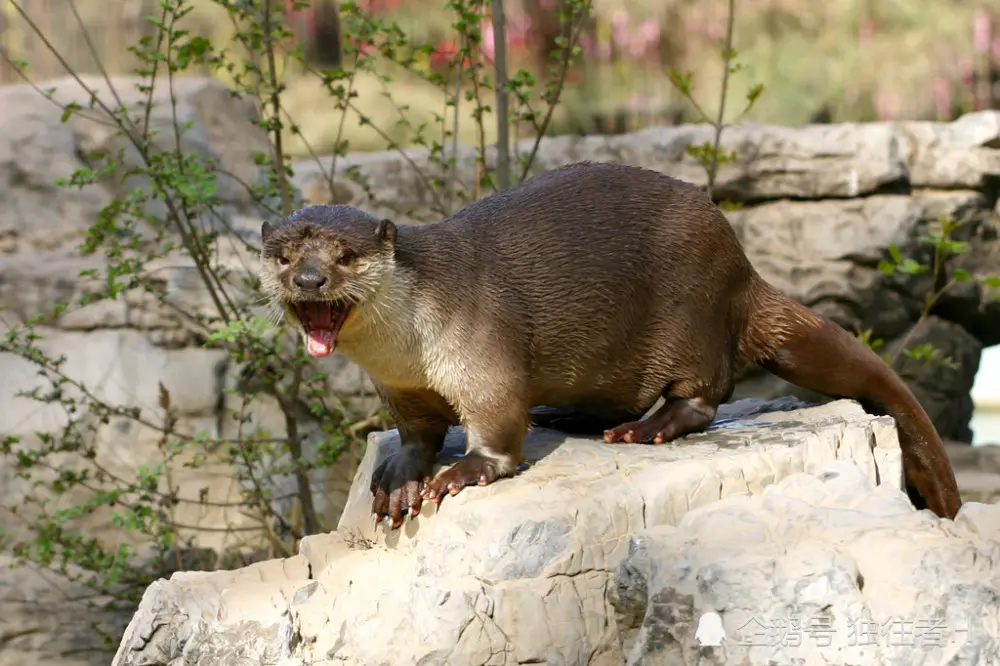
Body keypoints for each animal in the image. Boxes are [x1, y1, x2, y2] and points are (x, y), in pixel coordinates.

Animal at [258, 160, 960, 524]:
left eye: (345, 256)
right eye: (283, 254)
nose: (309, 279)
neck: (409, 341)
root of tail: (743, 270)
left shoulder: (481, 347)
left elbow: (498, 424)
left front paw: (462, 472)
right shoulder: (402, 388)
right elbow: (416, 434)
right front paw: (401, 476)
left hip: (693, 311)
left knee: (706, 395)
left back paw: (649, 428)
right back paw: (571, 414)